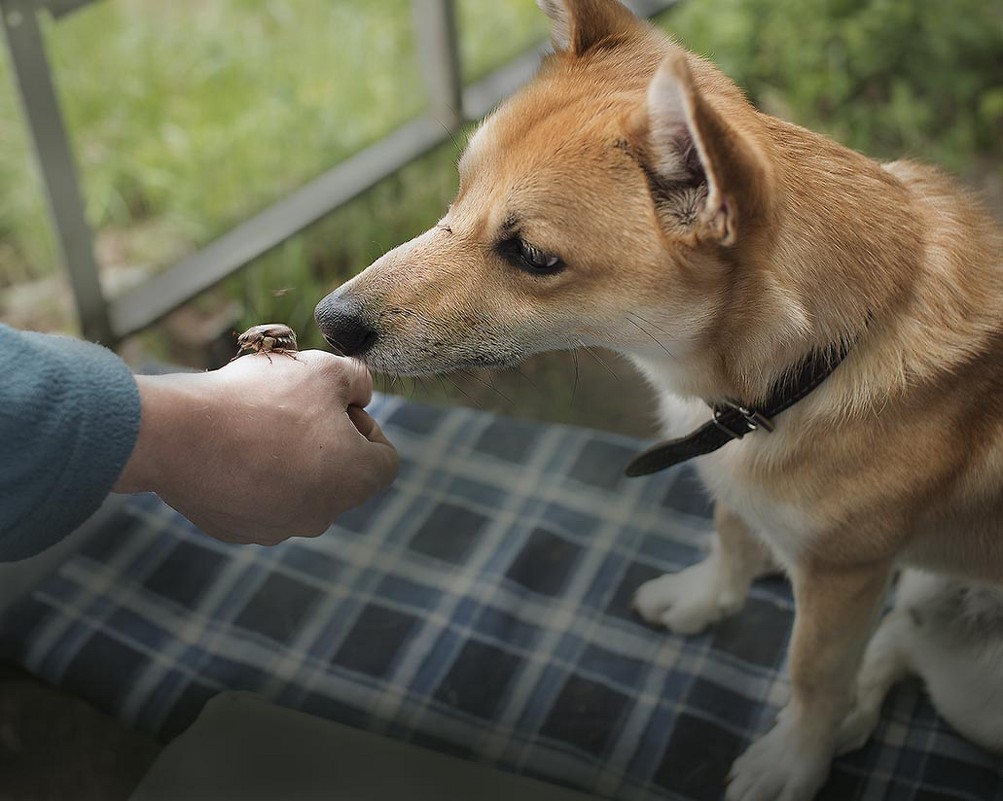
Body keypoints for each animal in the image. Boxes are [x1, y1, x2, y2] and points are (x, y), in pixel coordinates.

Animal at [314, 1, 1003, 801]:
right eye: (458, 190)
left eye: (533, 256)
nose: (329, 322)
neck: (817, 361)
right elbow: (730, 536)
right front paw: (706, 598)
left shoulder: (845, 573)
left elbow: (813, 674)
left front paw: (795, 757)